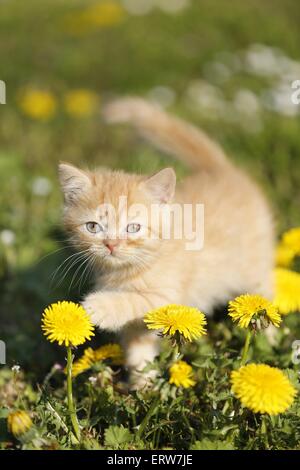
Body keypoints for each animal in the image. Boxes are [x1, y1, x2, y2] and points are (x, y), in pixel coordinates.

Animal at [58, 97, 274, 388]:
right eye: (93, 227)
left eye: (133, 227)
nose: (111, 245)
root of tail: (221, 169)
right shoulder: (137, 324)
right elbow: (138, 349)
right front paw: (142, 385)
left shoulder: (169, 299)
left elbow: (134, 301)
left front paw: (98, 307)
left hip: (255, 269)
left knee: (265, 301)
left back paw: (270, 342)